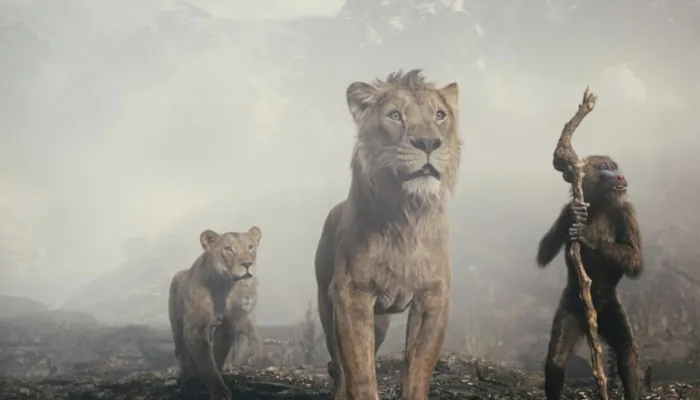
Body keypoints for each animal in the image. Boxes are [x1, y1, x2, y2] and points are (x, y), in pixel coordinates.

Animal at [168, 226, 262, 400]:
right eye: (228, 249)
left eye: (250, 247)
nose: (247, 264)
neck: (222, 287)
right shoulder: (195, 330)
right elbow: (206, 364)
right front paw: (218, 392)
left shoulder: (227, 327)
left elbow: (217, 358)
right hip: (176, 325)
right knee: (183, 353)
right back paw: (186, 380)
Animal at [314, 69, 461, 400]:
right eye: (395, 115)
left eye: (440, 115)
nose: (428, 142)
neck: (407, 216)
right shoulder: (352, 295)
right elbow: (360, 373)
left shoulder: (433, 296)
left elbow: (419, 367)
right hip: (327, 308)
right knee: (339, 367)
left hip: (380, 321)